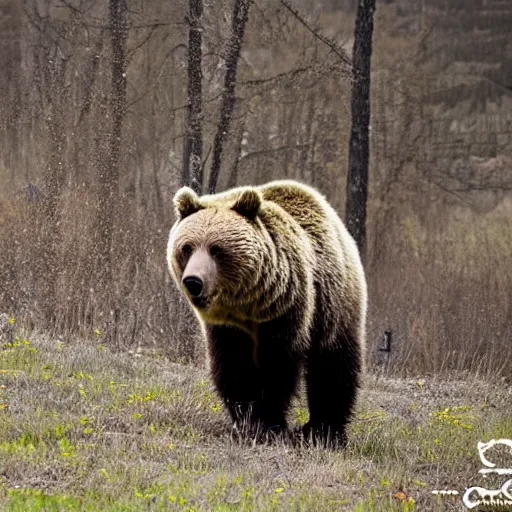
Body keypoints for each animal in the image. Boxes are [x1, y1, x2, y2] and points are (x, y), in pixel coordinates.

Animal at [169, 181, 368, 448]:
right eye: (187, 247)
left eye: (216, 249)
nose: (193, 281)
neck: (248, 305)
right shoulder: (227, 328)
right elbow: (234, 368)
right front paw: (247, 421)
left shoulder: (286, 312)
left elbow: (277, 369)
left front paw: (270, 424)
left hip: (335, 304)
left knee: (334, 364)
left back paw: (324, 431)